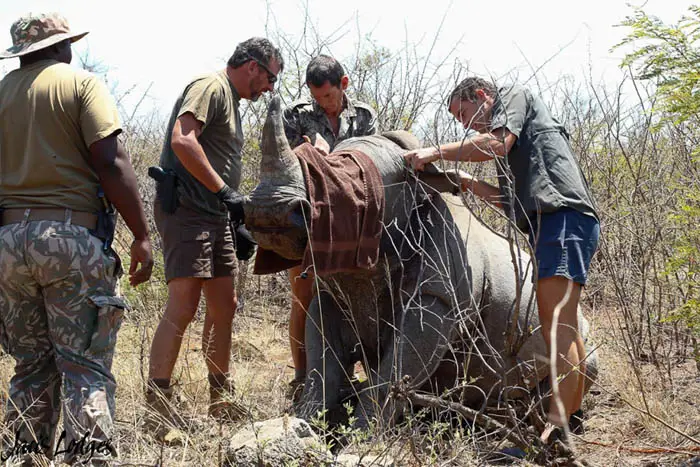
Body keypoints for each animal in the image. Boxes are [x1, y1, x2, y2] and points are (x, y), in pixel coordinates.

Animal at [245, 96, 596, 432]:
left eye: (357, 186)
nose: (269, 211)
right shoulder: (330, 290)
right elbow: (323, 367)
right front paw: (301, 423)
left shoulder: (437, 297)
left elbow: (397, 370)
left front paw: (365, 434)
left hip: (578, 319)